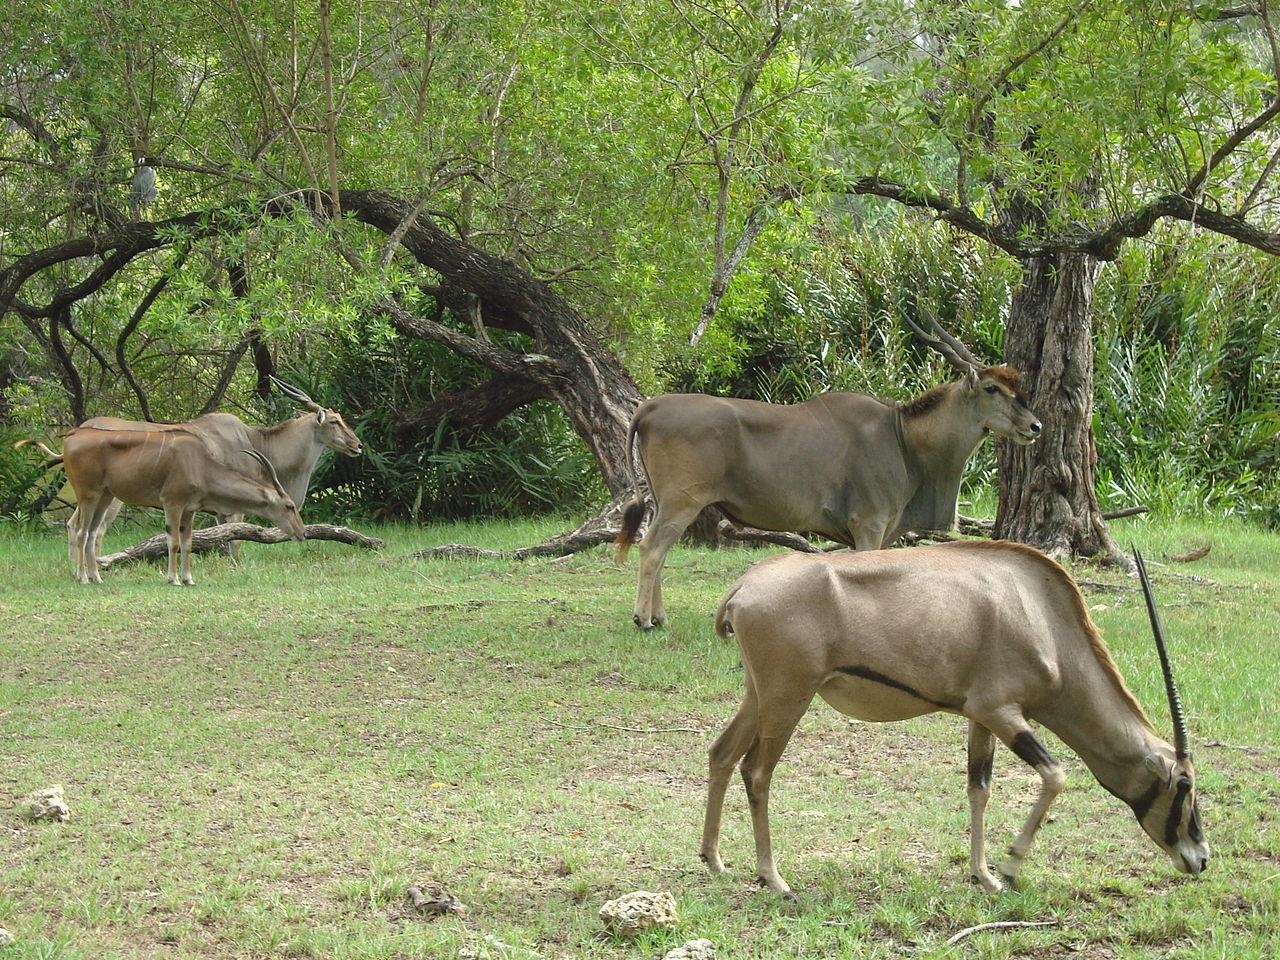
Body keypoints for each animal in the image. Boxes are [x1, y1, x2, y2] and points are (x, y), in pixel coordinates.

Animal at [63, 427, 307, 586]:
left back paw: (96, 577)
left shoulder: (189, 508)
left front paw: (188, 578)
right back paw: (82, 578)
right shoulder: (172, 502)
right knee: (82, 531)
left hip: (105, 496)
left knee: (92, 532)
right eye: (289, 506)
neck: (200, 464)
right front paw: (173, 579)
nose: (302, 533)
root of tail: (73, 435)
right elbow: (173, 542)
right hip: (88, 495)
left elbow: (187, 543)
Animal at [68, 378, 363, 563]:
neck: (255, 441)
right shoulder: (236, 509)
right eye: (335, 421)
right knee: (93, 531)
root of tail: (79, 430)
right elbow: (235, 545)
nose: (358, 445)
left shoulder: (221, 511)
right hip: (111, 499)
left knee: (74, 525)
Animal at [611, 316, 1039, 632]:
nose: (1035, 426)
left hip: (670, 504)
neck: (901, 435)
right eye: (991, 388)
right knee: (651, 548)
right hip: (681, 502)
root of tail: (649, 408)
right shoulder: (869, 527)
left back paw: (659, 617)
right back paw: (643, 620)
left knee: (660, 549)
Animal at [706, 545, 1203, 901]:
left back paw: (714, 860)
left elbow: (979, 788)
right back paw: (774, 880)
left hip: (759, 696)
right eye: (1184, 785)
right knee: (757, 771)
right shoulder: (1002, 711)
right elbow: (1056, 775)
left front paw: (984, 876)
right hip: (788, 697)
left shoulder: (980, 717)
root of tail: (744, 587)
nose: (1200, 859)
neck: (1043, 618)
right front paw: (1010, 866)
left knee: (723, 754)